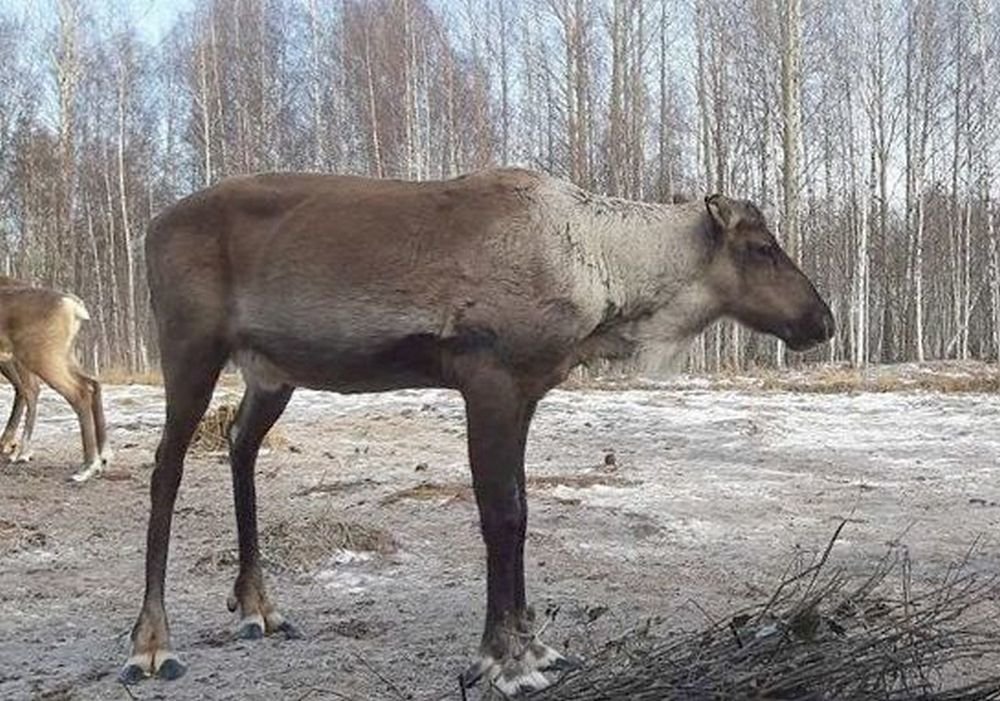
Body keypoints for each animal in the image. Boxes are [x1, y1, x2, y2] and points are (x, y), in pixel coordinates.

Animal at [0, 274, 107, 482]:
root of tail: (72, 306)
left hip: (39, 356)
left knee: (76, 392)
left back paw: (87, 467)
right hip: (63, 354)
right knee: (92, 382)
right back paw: (103, 456)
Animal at [121, 167, 832, 692]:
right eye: (762, 248)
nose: (822, 321)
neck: (601, 267)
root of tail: (150, 225)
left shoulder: (526, 391)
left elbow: (520, 511)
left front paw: (535, 647)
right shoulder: (487, 378)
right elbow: (498, 514)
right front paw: (504, 659)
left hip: (273, 371)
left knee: (240, 444)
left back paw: (257, 607)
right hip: (190, 345)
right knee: (166, 468)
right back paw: (152, 644)